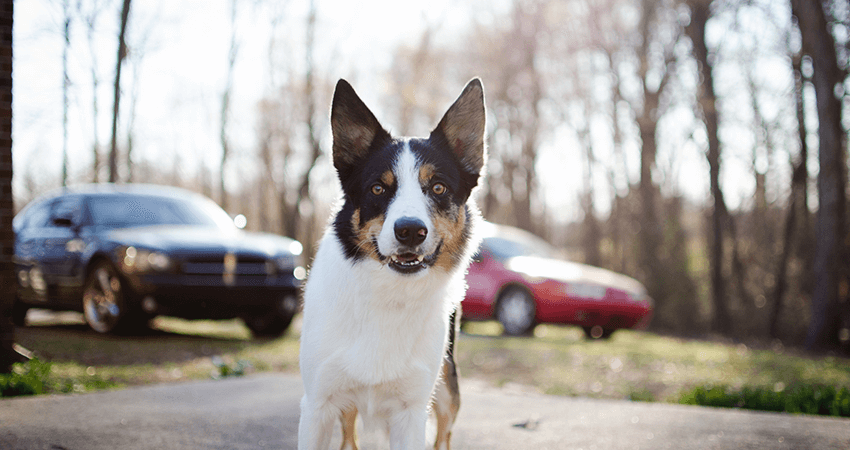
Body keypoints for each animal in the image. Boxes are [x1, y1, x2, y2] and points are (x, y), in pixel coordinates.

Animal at [296, 78, 484, 450]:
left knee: (444, 434)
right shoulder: (317, 405)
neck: (389, 293)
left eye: (438, 187)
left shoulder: (411, 412)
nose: (410, 230)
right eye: (378, 188)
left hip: (447, 388)